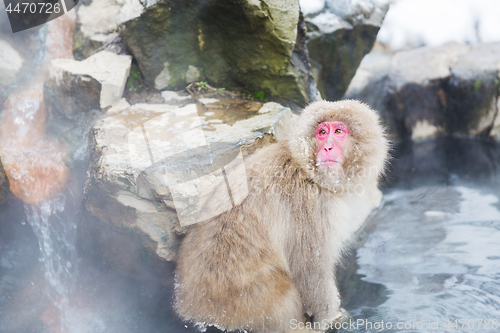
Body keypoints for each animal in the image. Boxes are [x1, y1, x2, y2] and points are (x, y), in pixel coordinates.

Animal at [176, 100, 390, 330]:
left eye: (339, 131)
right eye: (322, 132)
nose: (328, 147)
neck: (307, 170)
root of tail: (190, 308)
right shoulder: (311, 205)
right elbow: (311, 270)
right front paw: (330, 318)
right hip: (247, 306)